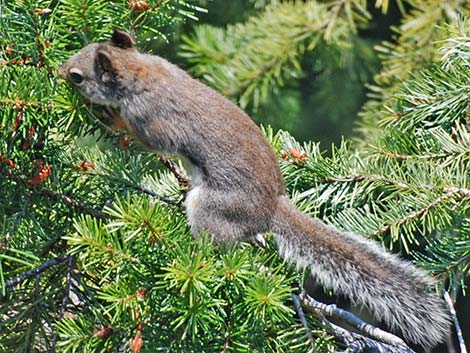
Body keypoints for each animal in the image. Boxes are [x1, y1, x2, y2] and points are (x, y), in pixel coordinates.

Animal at [58, 28, 452, 346]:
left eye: (78, 76)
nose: (61, 72)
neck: (141, 71)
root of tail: (271, 208)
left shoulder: (151, 118)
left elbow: (148, 138)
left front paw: (111, 120)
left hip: (213, 206)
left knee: (220, 242)